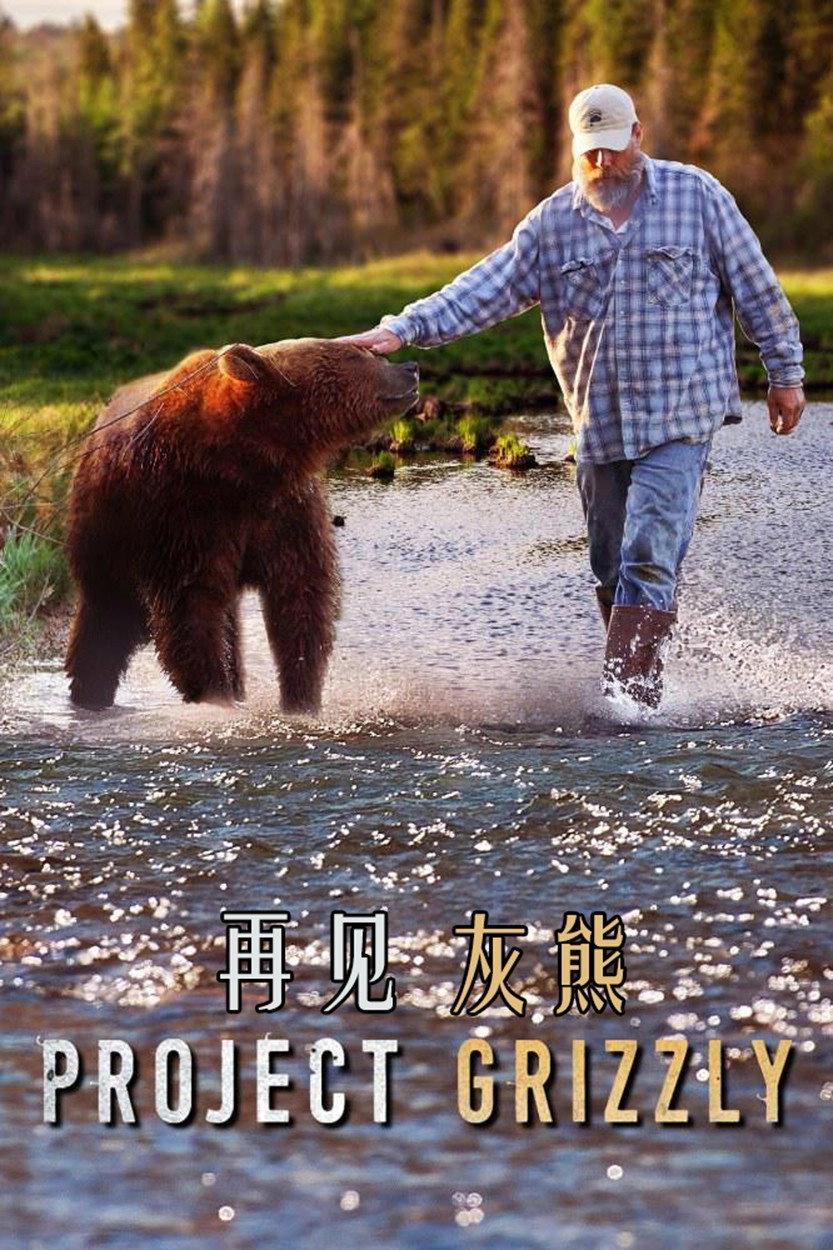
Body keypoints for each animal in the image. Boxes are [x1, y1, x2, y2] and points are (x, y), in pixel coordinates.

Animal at [65, 339, 419, 713]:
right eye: (355, 354)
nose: (410, 367)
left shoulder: (284, 510)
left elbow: (301, 596)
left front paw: (300, 697)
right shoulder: (183, 511)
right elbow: (190, 609)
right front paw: (214, 695)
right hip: (107, 536)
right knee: (105, 623)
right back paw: (90, 695)